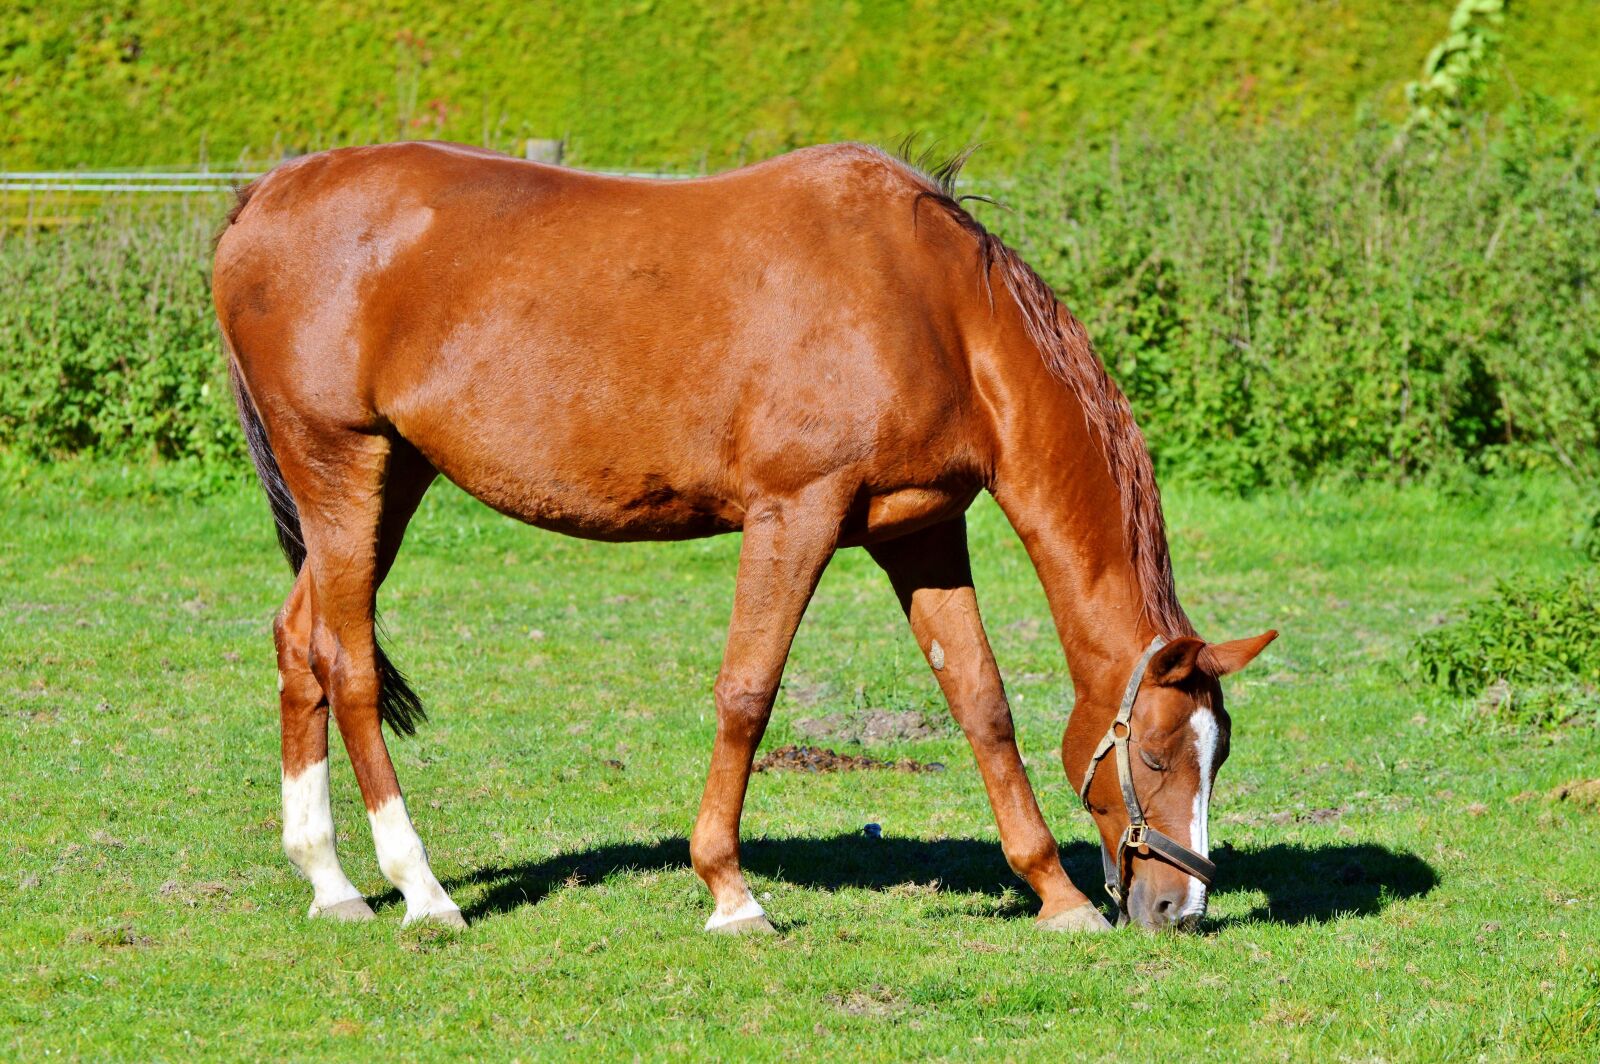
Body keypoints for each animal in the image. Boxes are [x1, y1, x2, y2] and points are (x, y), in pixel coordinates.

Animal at [213, 140, 1275, 935]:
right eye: (1156, 757)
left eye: (1219, 755)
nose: (1178, 908)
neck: (929, 306)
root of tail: (264, 195)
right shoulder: (793, 515)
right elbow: (748, 694)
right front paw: (730, 892)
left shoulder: (923, 531)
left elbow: (981, 703)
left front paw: (1055, 896)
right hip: (341, 469)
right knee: (348, 663)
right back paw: (422, 890)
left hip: (388, 480)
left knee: (300, 642)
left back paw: (331, 882)